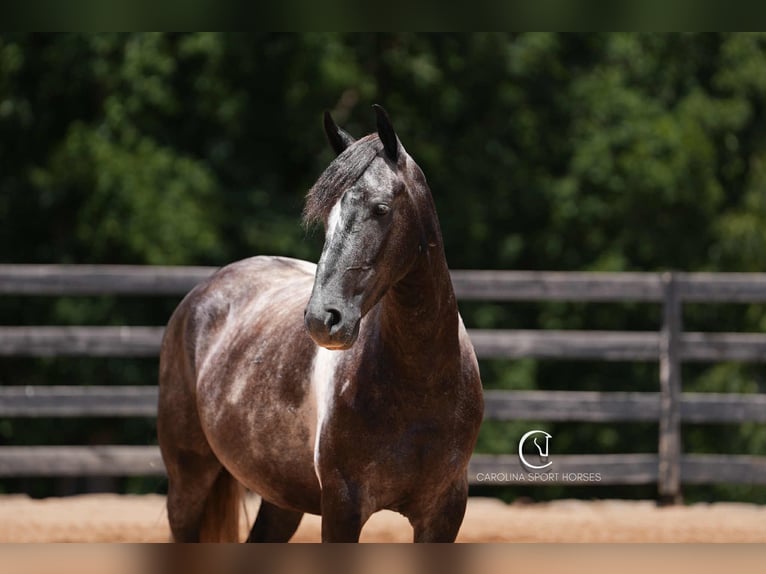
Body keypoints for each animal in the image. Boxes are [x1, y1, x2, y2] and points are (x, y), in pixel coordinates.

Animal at [157, 105, 484, 542]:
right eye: (328, 217)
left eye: (381, 209)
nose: (321, 318)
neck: (420, 387)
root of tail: (205, 292)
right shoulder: (342, 506)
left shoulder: (444, 513)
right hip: (188, 484)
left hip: (280, 499)